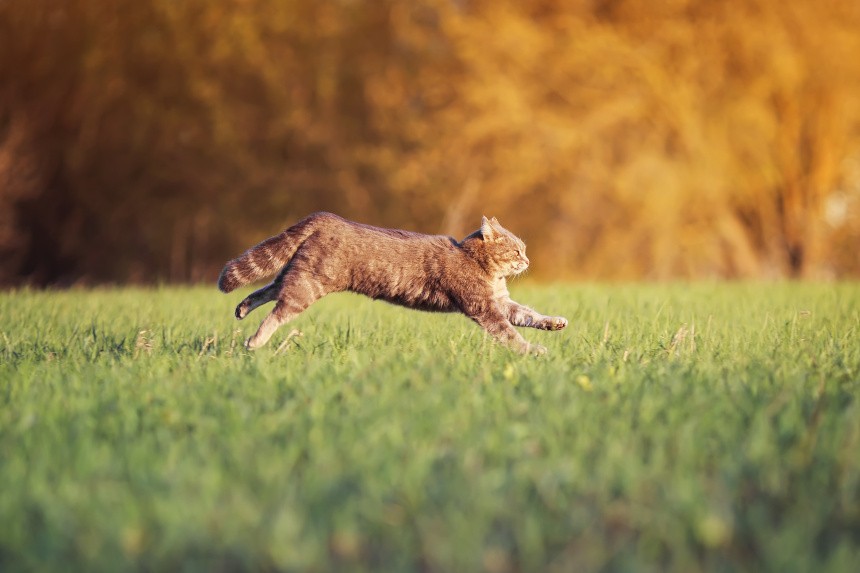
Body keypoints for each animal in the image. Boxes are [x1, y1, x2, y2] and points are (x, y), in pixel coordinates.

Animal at [220, 210, 572, 354]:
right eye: (516, 250)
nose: (527, 261)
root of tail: (326, 218)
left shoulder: (501, 302)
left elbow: (529, 314)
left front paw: (554, 322)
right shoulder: (483, 306)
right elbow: (510, 333)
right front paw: (532, 351)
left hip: (297, 273)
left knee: (264, 290)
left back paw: (241, 309)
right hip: (308, 285)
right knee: (277, 311)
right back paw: (255, 341)